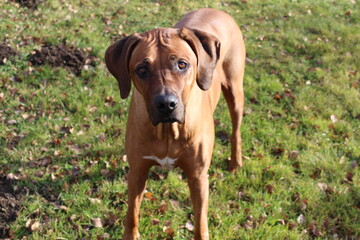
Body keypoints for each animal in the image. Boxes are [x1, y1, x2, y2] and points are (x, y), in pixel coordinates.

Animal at [104, 7, 245, 240]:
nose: (166, 104)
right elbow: (131, 215)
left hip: (235, 89)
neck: (168, 130)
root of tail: (215, 9)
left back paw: (235, 163)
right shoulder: (137, 172)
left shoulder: (198, 176)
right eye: (141, 70)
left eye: (182, 64)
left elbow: (200, 223)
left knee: (236, 131)